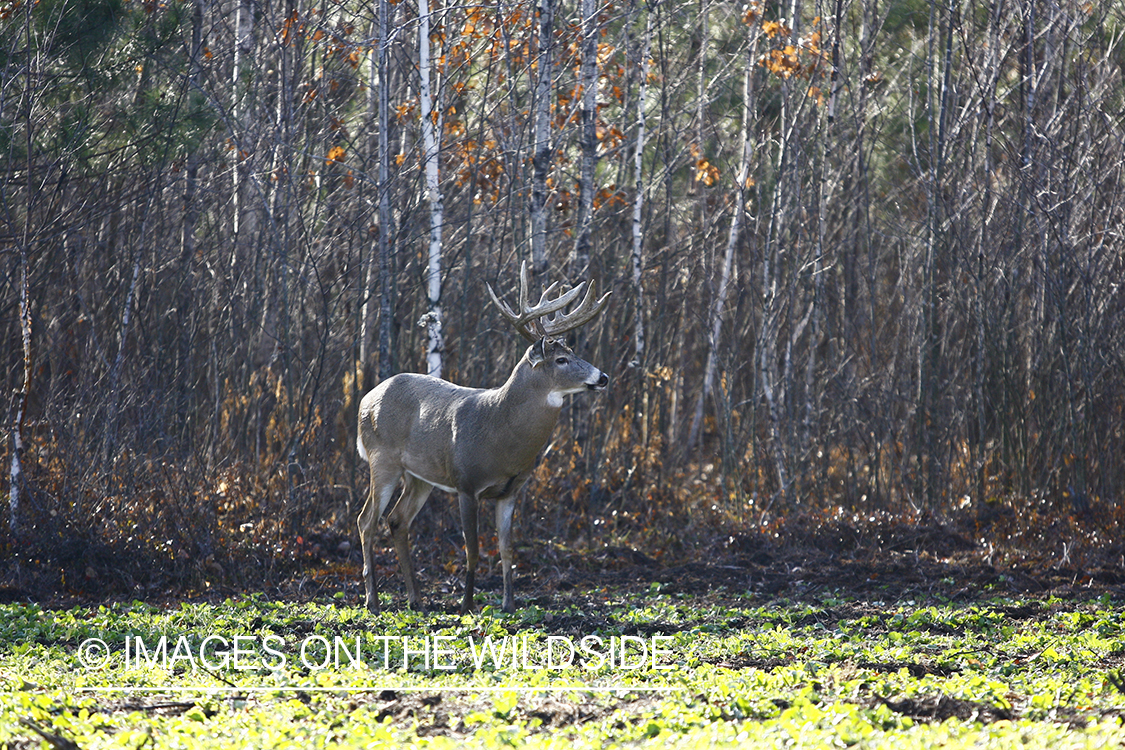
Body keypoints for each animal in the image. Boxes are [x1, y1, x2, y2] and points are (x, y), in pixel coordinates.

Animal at [357, 264, 607, 616]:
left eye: (573, 352)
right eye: (561, 360)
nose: (603, 377)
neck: (501, 434)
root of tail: (366, 398)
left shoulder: (511, 491)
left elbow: (507, 549)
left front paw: (509, 603)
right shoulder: (467, 483)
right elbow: (472, 549)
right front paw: (466, 604)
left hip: (420, 476)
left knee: (397, 520)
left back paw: (416, 599)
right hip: (382, 460)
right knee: (366, 520)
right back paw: (373, 600)